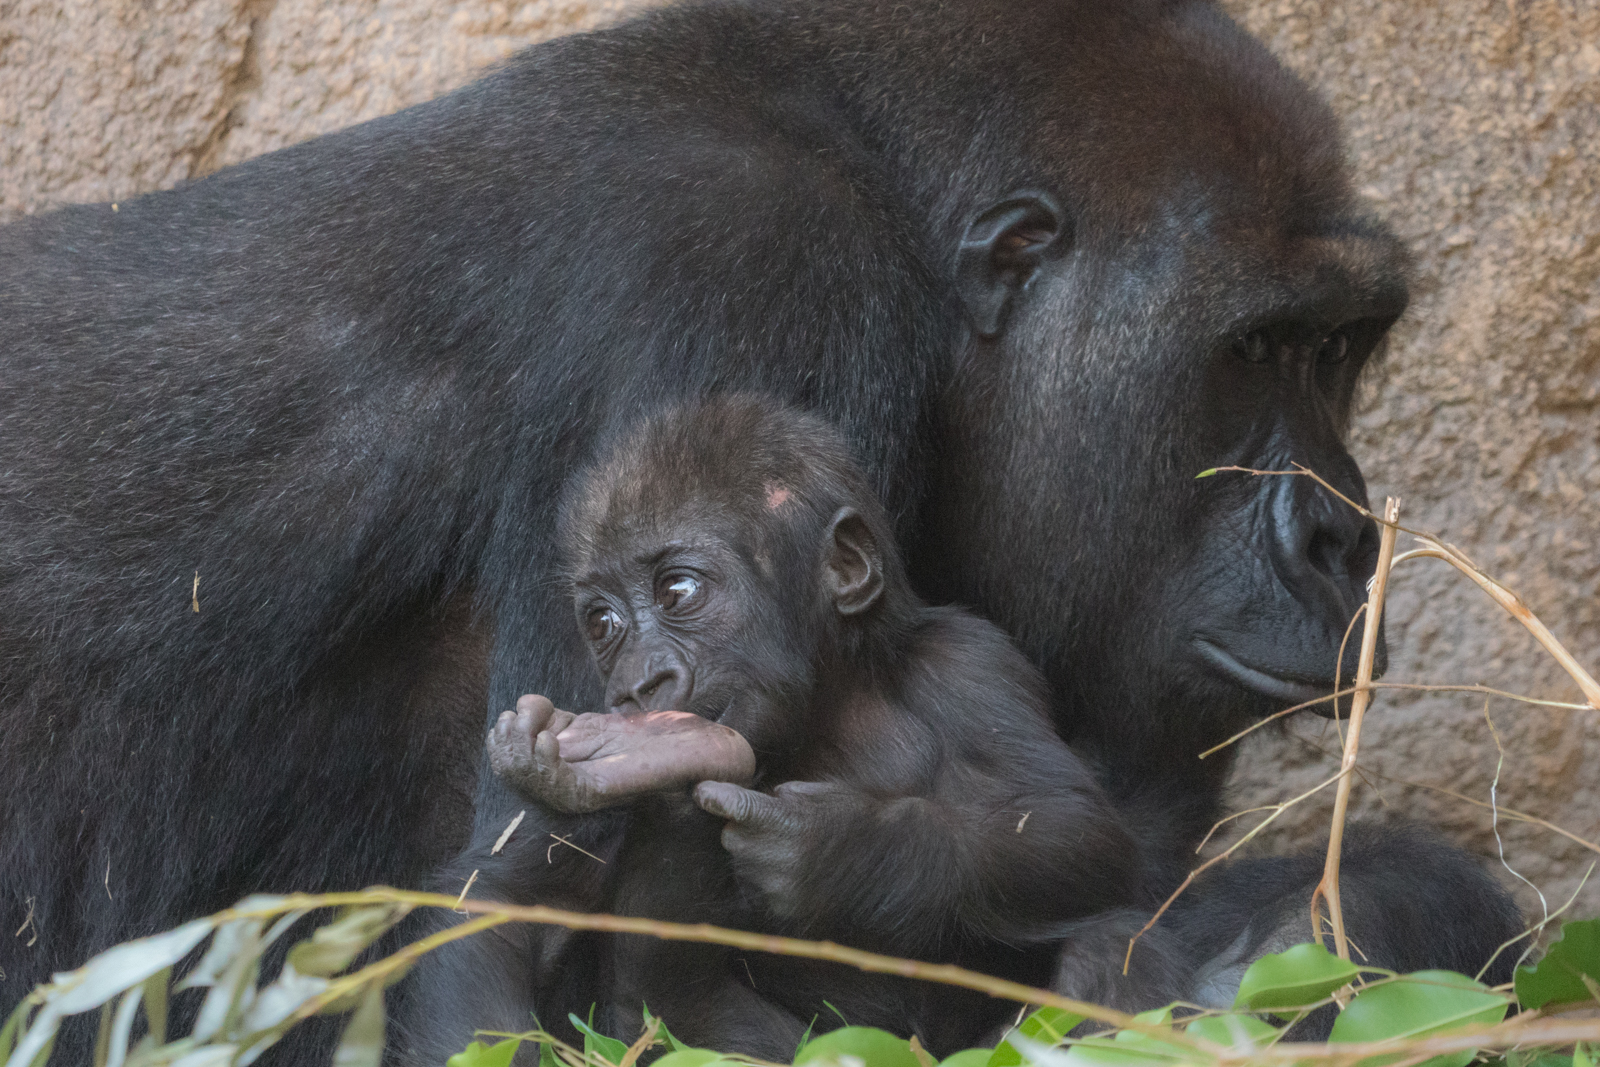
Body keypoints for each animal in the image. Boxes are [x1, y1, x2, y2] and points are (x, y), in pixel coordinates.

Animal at [480, 398, 1132, 1062]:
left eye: (676, 590)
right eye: (603, 623)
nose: (638, 684)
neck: (827, 706)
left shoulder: (972, 664)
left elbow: (1069, 827)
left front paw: (838, 852)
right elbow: (506, 904)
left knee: (1109, 943)